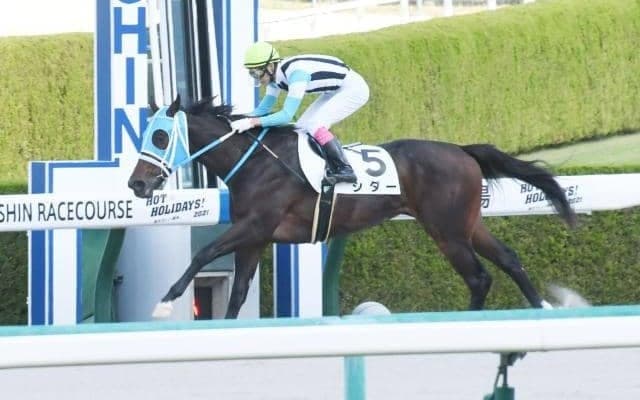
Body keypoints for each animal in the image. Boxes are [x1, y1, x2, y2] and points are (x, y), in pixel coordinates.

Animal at [128, 95, 577, 319]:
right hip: (466, 225)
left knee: (479, 278)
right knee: (509, 258)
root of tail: (463, 151)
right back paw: (542, 308)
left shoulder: (255, 226)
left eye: (161, 137)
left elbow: (203, 252)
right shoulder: (254, 238)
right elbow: (236, 294)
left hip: (447, 232)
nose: (136, 183)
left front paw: (164, 303)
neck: (255, 161)